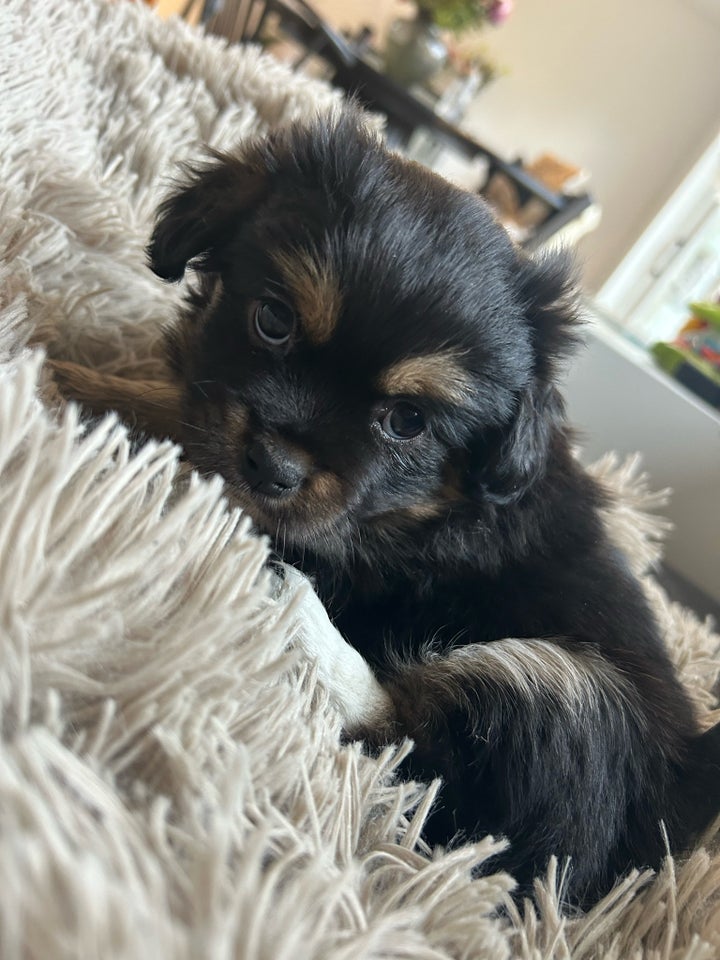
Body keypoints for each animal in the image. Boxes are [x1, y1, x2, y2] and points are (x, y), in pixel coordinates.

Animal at [54, 112, 720, 908]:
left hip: (562, 697)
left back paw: (297, 617)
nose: (274, 466)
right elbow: (183, 415)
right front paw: (92, 371)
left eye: (407, 421)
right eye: (271, 320)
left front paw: (75, 383)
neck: (437, 505)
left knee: (411, 766)